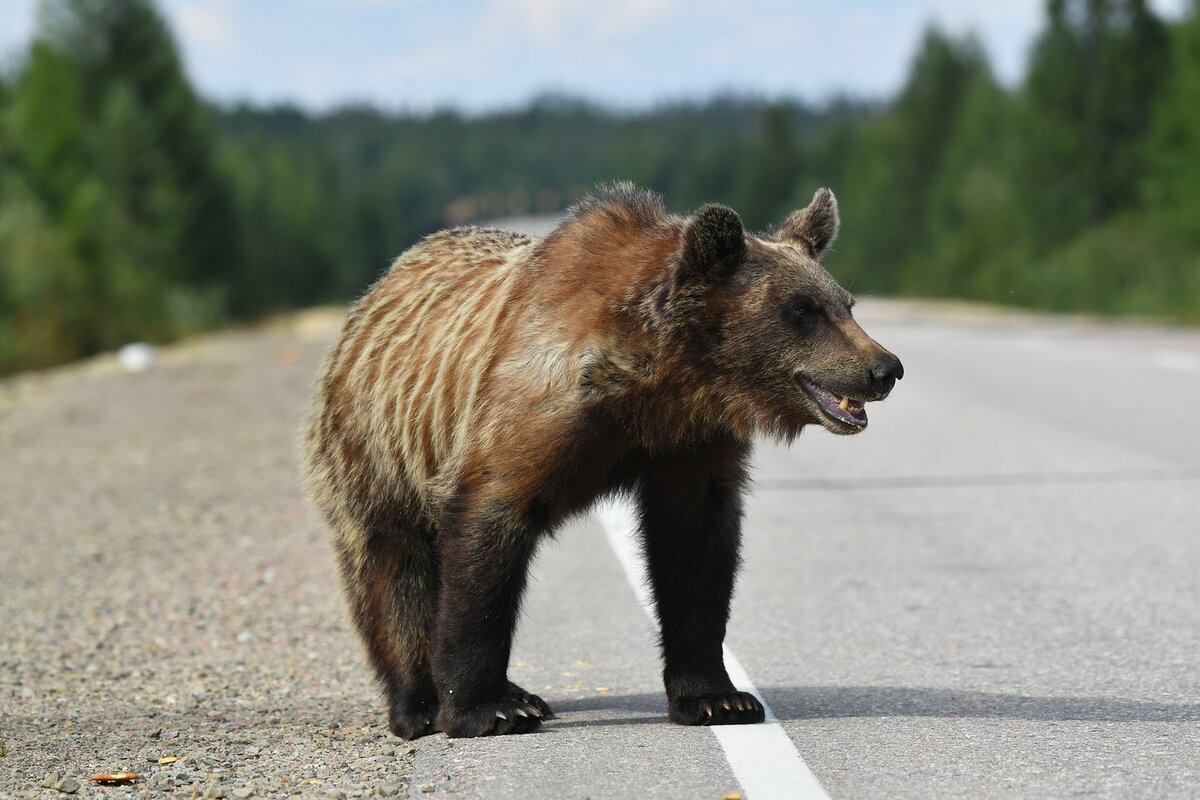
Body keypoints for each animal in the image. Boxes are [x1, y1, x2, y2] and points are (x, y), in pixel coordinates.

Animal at [300, 184, 902, 743]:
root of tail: (376, 294)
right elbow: (486, 535)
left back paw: (521, 693)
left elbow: (696, 553)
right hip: (378, 443)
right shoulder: (527, 417)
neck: (667, 381)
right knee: (393, 567)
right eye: (802, 310)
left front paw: (718, 698)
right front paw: (482, 709)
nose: (885, 368)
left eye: (846, 303)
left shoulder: (693, 445)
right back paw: (422, 704)